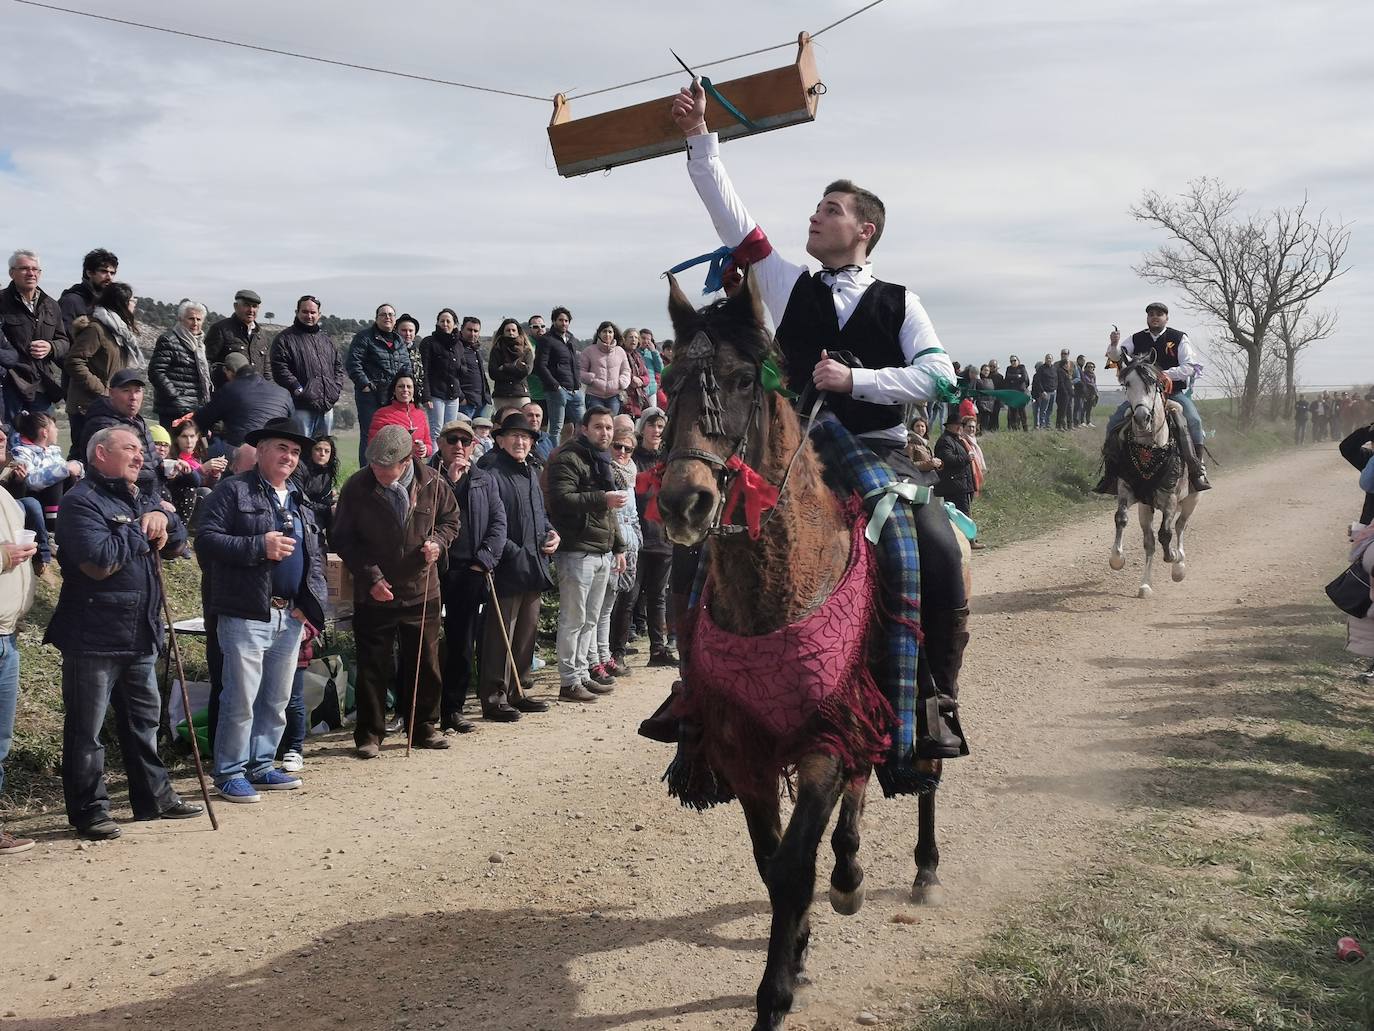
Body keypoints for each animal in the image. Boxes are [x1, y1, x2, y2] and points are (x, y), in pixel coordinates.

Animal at [654, 272, 956, 1031]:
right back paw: (849, 874)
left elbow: (794, 864)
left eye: (740, 379)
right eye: (667, 383)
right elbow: (773, 863)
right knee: (859, 789)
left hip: (925, 691)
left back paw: (924, 869)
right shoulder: (746, 746)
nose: (682, 503)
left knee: (927, 770)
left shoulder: (823, 731)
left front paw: (776, 993)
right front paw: (797, 947)